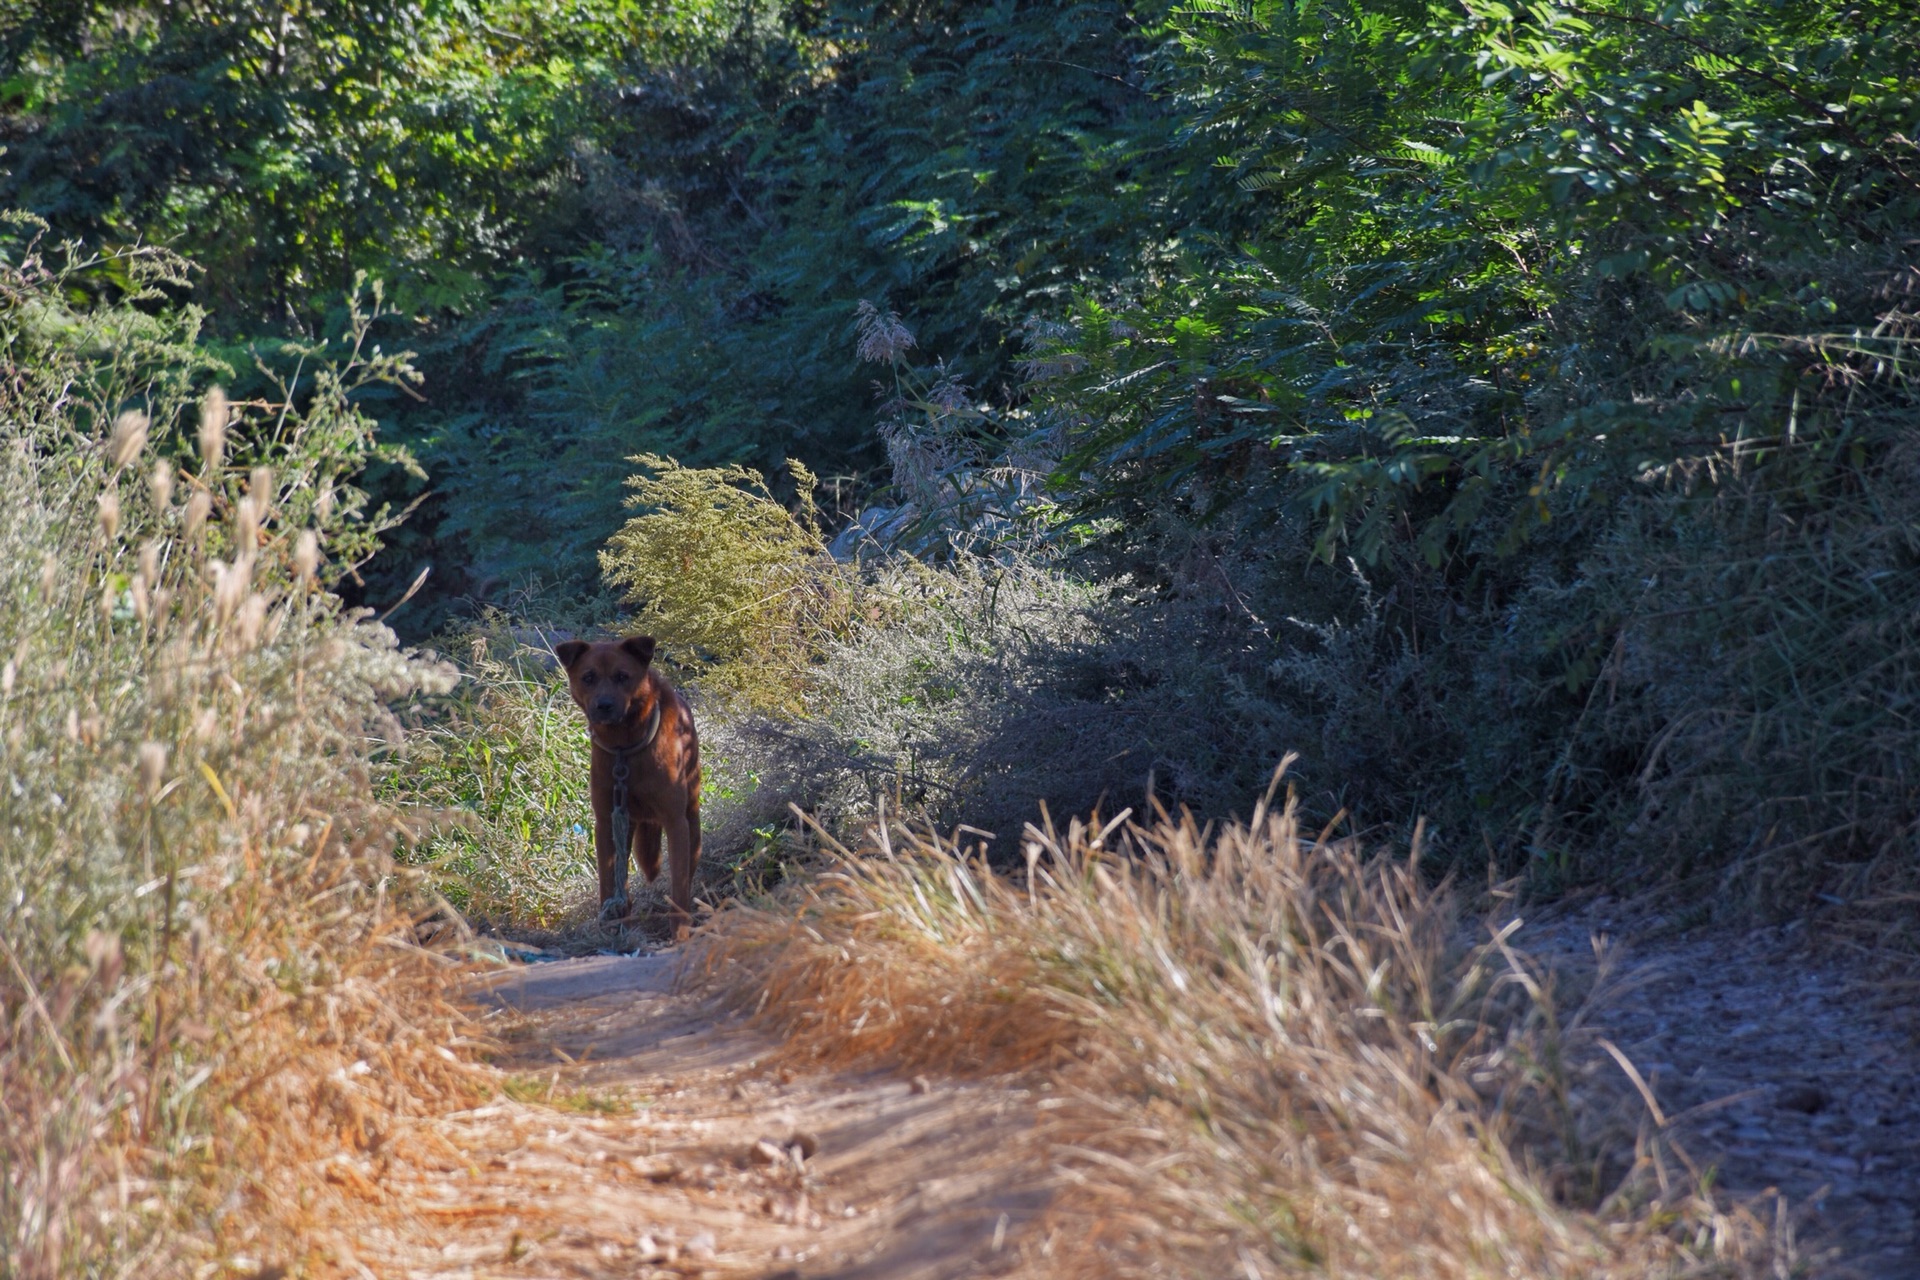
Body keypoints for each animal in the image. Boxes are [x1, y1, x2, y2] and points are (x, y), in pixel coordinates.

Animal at [552, 637, 702, 924]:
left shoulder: (675, 821)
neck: (624, 746)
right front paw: (610, 919)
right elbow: (608, 881)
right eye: (588, 677)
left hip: (692, 815)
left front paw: (681, 928)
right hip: (627, 822)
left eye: (622, 676)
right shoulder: (606, 820)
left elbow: (679, 889)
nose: (604, 705)